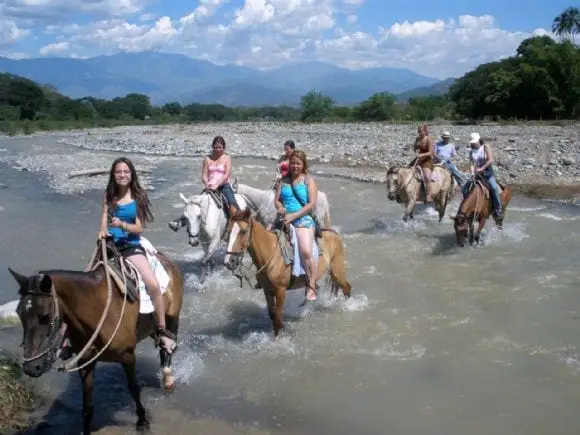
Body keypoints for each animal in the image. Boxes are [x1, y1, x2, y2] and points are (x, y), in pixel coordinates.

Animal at [9, 240, 186, 434]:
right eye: (19, 313)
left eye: (45, 316)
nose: (31, 368)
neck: (100, 310)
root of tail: (166, 260)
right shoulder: (85, 361)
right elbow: (87, 406)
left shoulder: (128, 356)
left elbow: (133, 387)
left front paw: (142, 421)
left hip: (172, 317)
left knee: (167, 347)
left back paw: (168, 378)